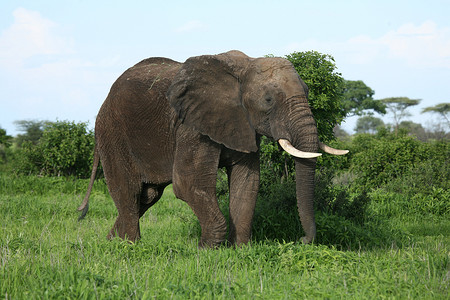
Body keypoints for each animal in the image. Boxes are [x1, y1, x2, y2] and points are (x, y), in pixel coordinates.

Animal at [78, 49, 348, 247]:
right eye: (269, 100)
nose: (301, 240)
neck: (244, 67)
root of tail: (104, 102)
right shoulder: (191, 127)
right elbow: (188, 183)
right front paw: (206, 252)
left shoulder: (243, 123)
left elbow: (247, 183)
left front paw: (240, 250)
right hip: (112, 132)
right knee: (129, 190)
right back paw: (130, 247)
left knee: (148, 195)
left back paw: (111, 242)